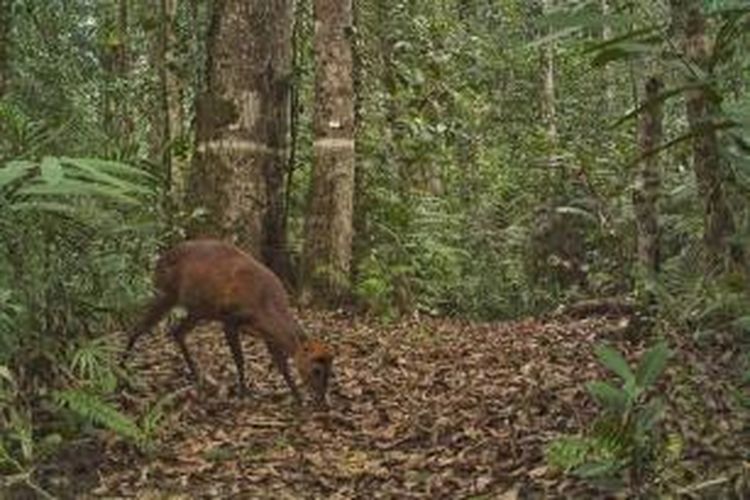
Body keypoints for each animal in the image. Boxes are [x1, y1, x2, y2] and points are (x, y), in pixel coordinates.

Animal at [122, 238, 334, 406]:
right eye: (316, 370)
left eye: (331, 371)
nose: (322, 399)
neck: (265, 306)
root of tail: (158, 262)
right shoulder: (230, 319)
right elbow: (240, 359)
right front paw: (244, 392)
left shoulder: (267, 334)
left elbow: (282, 366)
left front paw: (298, 397)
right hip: (166, 293)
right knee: (137, 327)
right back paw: (121, 367)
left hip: (199, 309)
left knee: (177, 331)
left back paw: (196, 375)